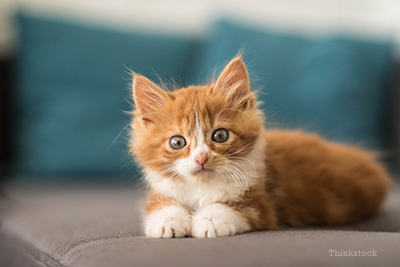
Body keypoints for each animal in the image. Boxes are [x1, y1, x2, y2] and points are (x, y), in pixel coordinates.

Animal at [130, 56, 390, 239]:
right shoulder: (162, 190)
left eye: (220, 135)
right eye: (177, 142)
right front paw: (168, 222)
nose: (201, 158)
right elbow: (160, 205)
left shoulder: (261, 203)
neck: (202, 187)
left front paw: (209, 221)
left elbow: (228, 207)